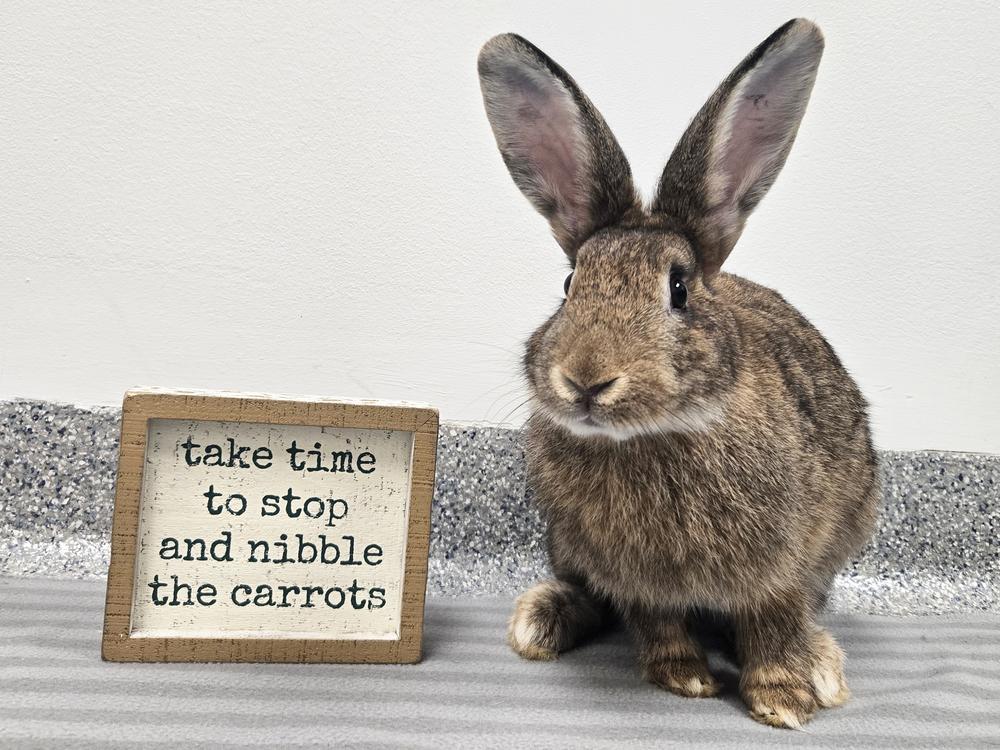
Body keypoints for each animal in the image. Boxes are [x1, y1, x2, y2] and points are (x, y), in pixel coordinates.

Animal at [477, 19, 880, 729]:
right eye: (569, 285)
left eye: (679, 289)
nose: (586, 380)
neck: (652, 436)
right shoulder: (637, 579)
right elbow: (656, 623)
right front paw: (685, 678)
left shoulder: (779, 563)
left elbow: (773, 622)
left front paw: (783, 699)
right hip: (565, 542)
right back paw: (543, 621)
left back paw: (822, 663)